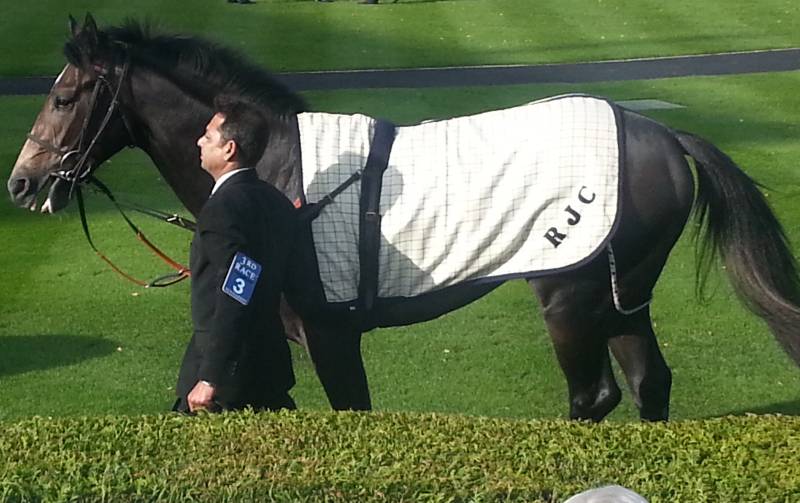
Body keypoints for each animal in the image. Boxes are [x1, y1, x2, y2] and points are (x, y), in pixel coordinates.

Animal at [8, 15, 800, 421]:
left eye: (65, 94)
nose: (22, 181)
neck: (280, 169)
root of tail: (661, 133)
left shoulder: (328, 331)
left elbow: (351, 409)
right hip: (622, 291)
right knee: (647, 382)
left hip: (570, 292)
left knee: (595, 392)